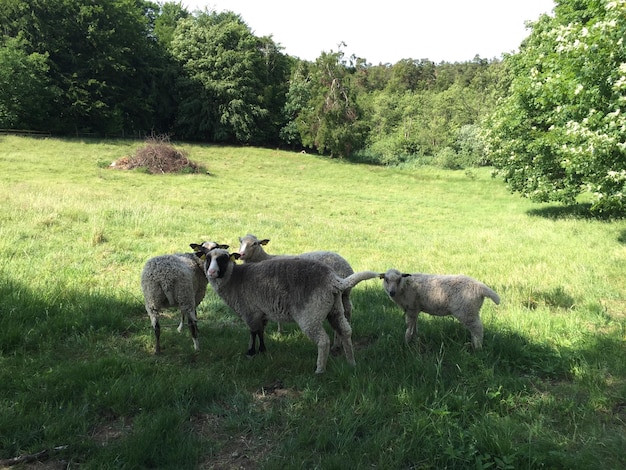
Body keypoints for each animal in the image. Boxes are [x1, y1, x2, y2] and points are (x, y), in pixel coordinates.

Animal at [197, 246, 378, 374]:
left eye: (223, 259)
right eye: (207, 258)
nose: (211, 272)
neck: (234, 279)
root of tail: (333, 280)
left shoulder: (250, 311)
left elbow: (253, 332)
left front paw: (250, 352)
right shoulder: (262, 312)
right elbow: (261, 332)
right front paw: (262, 350)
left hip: (311, 314)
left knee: (323, 341)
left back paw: (320, 370)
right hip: (335, 309)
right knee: (345, 332)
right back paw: (351, 362)